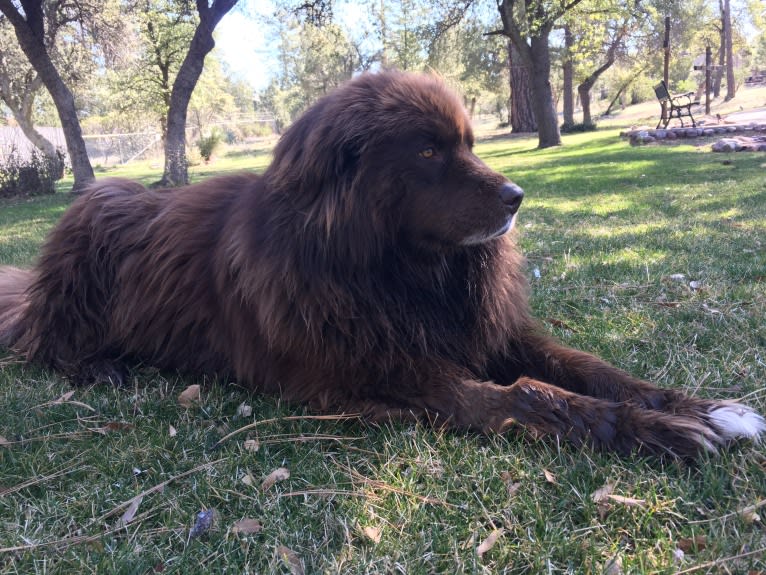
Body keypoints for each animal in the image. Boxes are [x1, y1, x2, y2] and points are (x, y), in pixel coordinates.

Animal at [0, 73, 760, 460]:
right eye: (427, 151)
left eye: (469, 143)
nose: (517, 196)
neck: (397, 269)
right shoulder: (379, 372)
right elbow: (529, 394)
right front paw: (651, 431)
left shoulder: (484, 330)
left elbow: (591, 368)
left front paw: (702, 408)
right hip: (99, 209)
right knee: (44, 343)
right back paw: (100, 367)